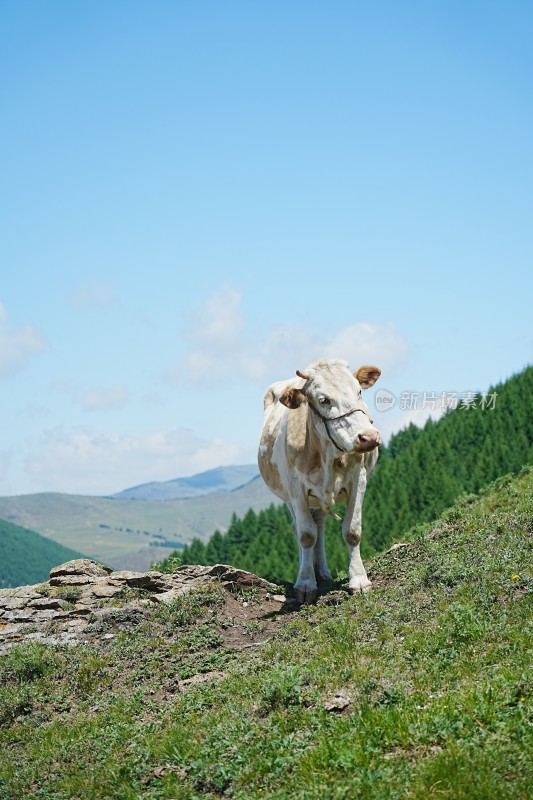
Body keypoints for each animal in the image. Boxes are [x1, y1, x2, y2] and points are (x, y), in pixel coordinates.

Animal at [256, 360, 378, 604]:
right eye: (324, 400)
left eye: (359, 391)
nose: (368, 437)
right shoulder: (296, 489)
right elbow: (306, 535)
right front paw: (305, 583)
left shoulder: (358, 479)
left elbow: (352, 531)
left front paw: (359, 579)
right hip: (290, 498)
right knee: (302, 529)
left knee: (319, 524)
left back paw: (321, 572)